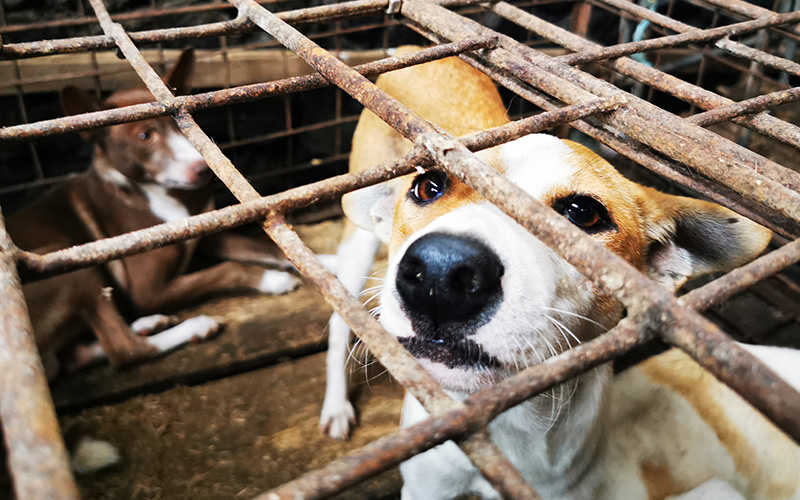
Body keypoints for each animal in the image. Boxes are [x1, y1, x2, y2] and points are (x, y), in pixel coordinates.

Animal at [328, 47, 796, 500]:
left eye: (583, 213)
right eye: (427, 187)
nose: (441, 273)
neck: (506, 424)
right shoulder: (427, 487)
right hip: (357, 244)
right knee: (338, 319)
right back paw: (335, 407)